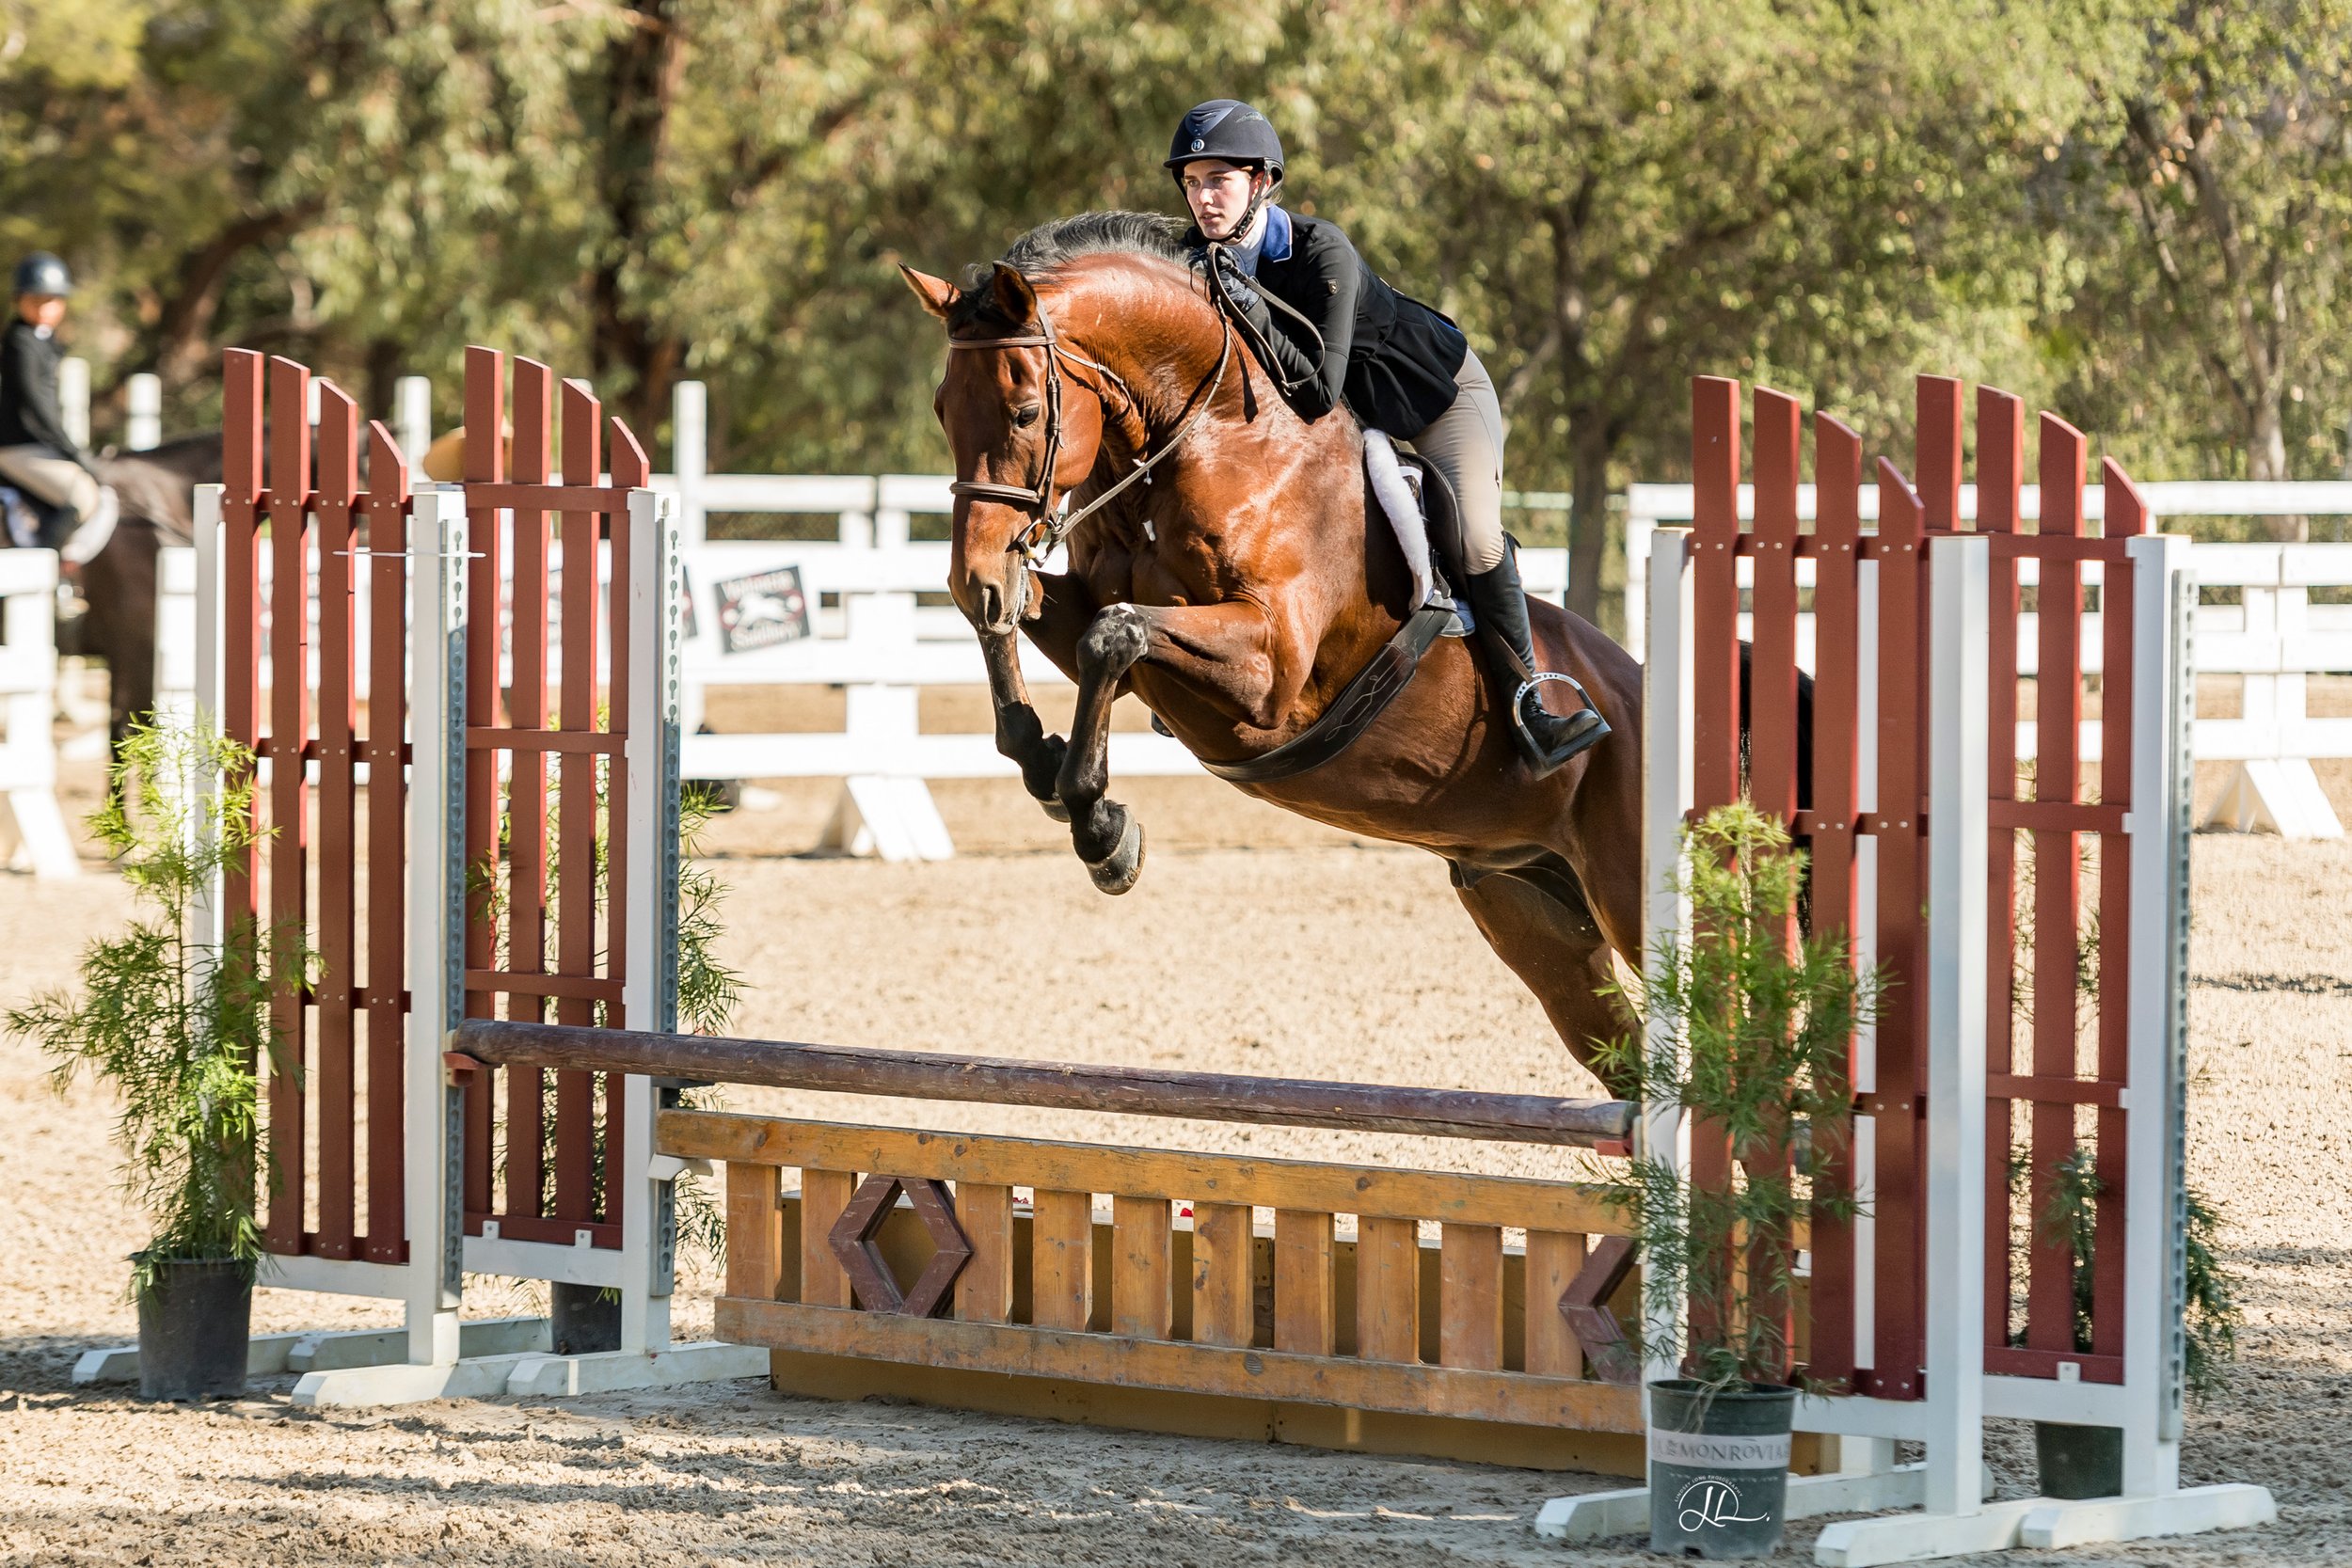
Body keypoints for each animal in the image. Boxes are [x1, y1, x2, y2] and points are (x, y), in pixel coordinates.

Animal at [900, 212, 1648, 1095]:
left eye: (1022, 412)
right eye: (944, 410)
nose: (974, 575)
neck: (1210, 435)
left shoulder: (1271, 674)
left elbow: (1112, 632)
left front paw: (1102, 829)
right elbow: (1041, 636)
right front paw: (1053, 771)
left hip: (1632, 894)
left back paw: (1555, 723)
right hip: (1531, 909)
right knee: (1633, 1061)